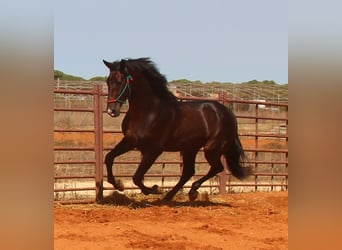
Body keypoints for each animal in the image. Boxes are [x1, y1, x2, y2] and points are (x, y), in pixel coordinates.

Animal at [102, 57, 251, 201]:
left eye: (120, 81)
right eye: (108, 81)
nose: (111, 110)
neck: (149, 112)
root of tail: (229, 113)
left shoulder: (154, 149)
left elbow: (137, 177)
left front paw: (154, 189)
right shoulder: (130, 141)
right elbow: (109, 158)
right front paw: (119, 185)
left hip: (211, 149)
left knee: (216, 167)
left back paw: (190, 192)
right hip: (190, 149)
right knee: (189, 172)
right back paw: (172, 196)